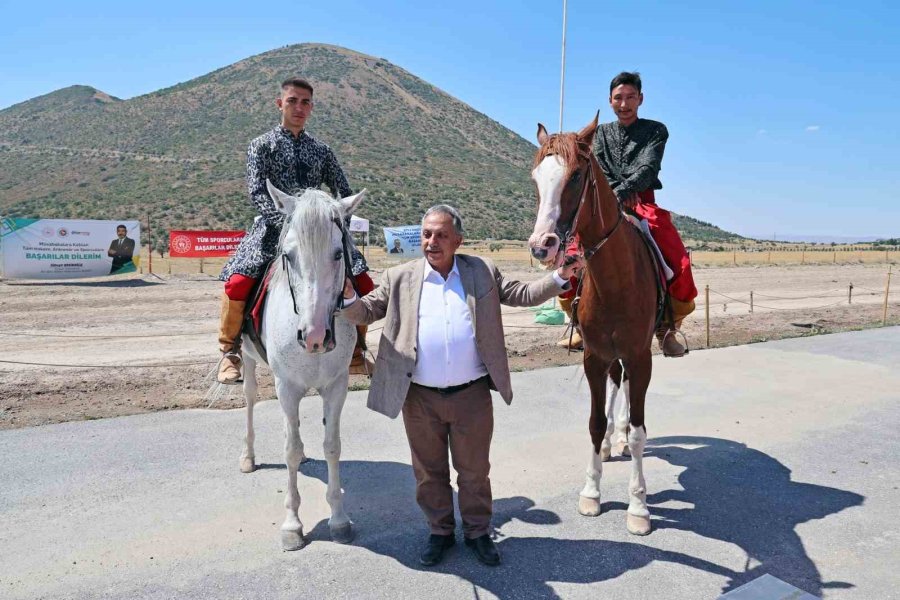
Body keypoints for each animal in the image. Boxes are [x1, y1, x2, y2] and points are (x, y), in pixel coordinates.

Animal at [241, 180, 368, 552]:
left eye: (339, 253)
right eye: (288, 255)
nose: (314, 336)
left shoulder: (336, 386)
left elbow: (332, 445)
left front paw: (339, 520)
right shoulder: (287, 387)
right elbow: (290, 450)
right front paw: (292, 525)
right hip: (247, 360)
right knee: (250, 400)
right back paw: (248, 457)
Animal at [524, 113, 656, 536]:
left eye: (577, 175)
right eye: (536, 178)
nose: (542, 245)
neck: (616, 279)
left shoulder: (640, 355)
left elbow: (639, 432)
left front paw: (638, 507)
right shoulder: (594, 356)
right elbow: (595, 423)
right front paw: (591, 492)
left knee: (627, 391)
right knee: (617, 384)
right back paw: (611, 442)